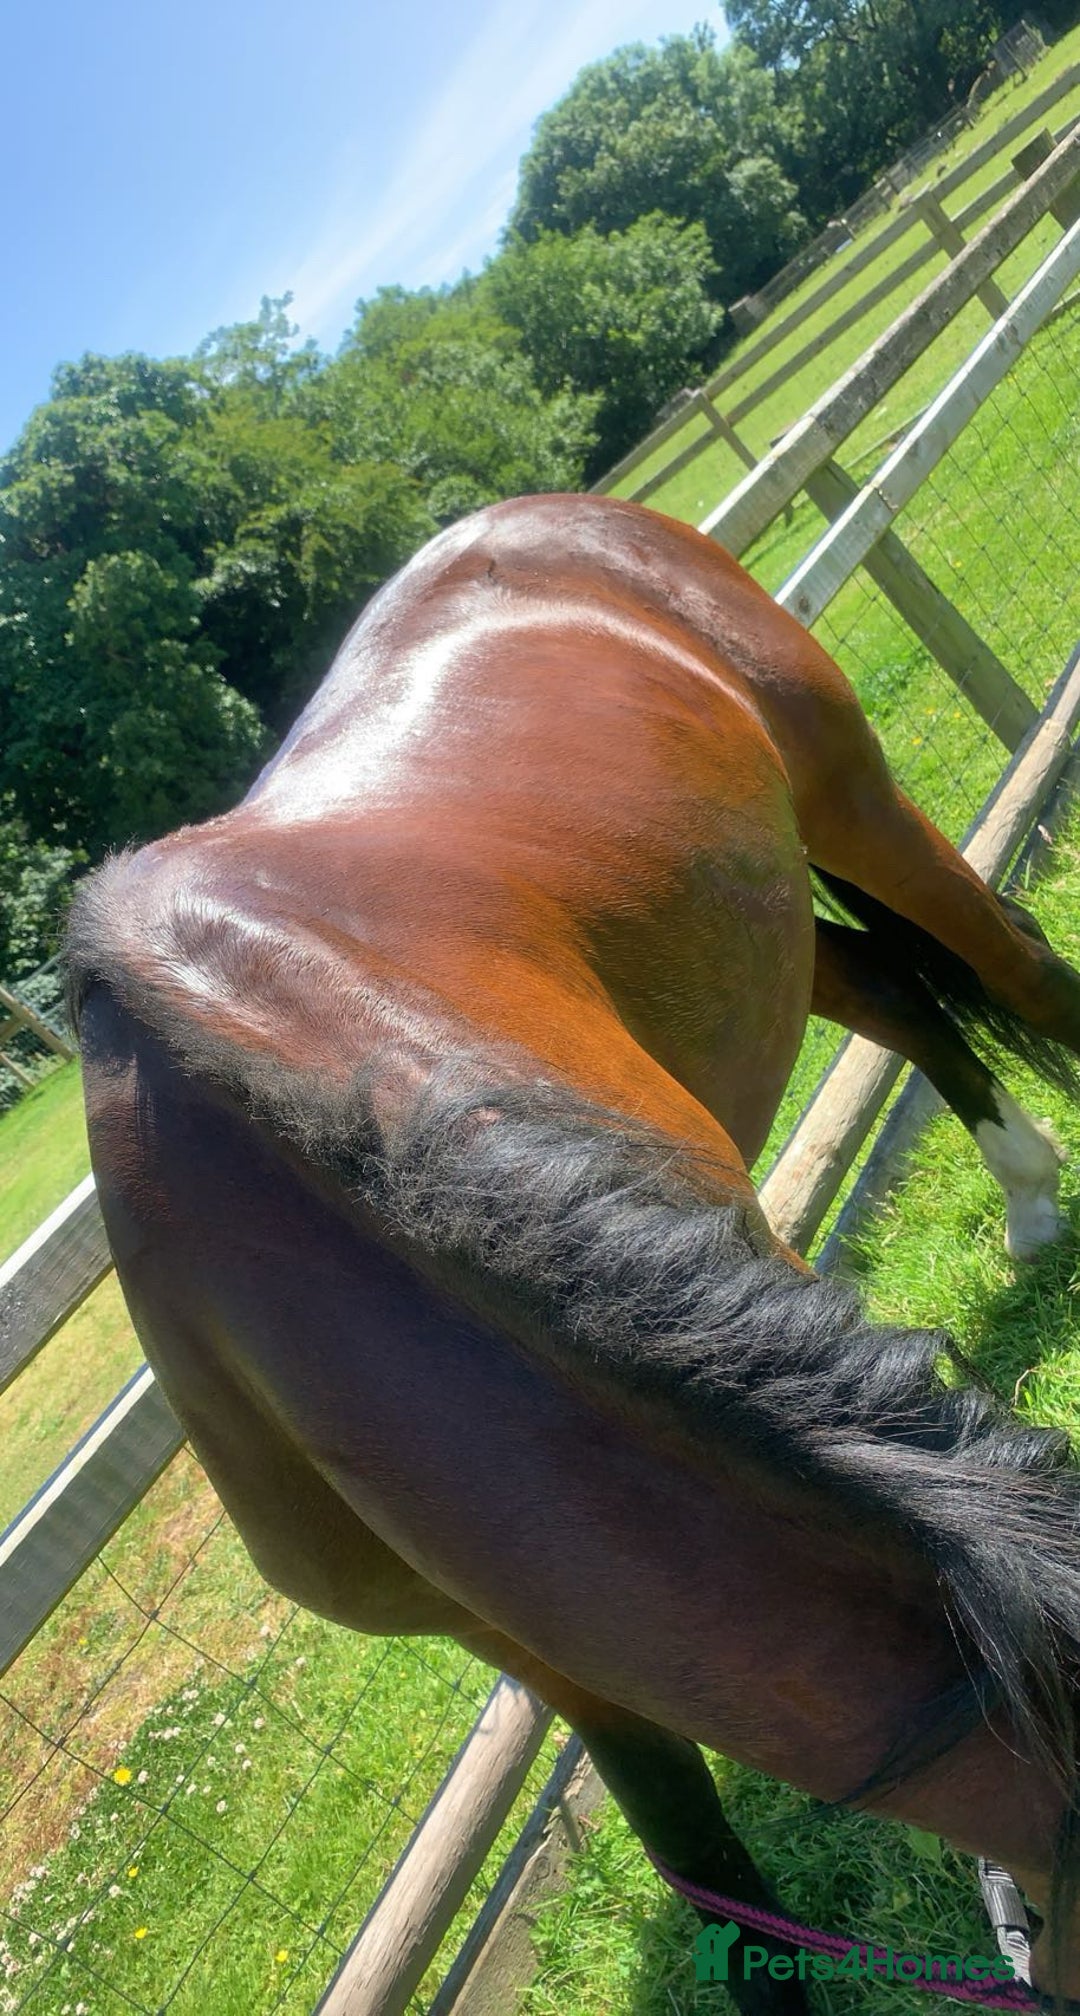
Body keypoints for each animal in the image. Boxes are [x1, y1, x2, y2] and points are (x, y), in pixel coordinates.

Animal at [66, 493, 1080, 2011]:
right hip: (754, 904)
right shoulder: (535, 1643)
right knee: (894, 990)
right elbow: (706, 1864)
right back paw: (1025, 1195)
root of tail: (551, 513)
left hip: (852, 805)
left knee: (1024, 977)